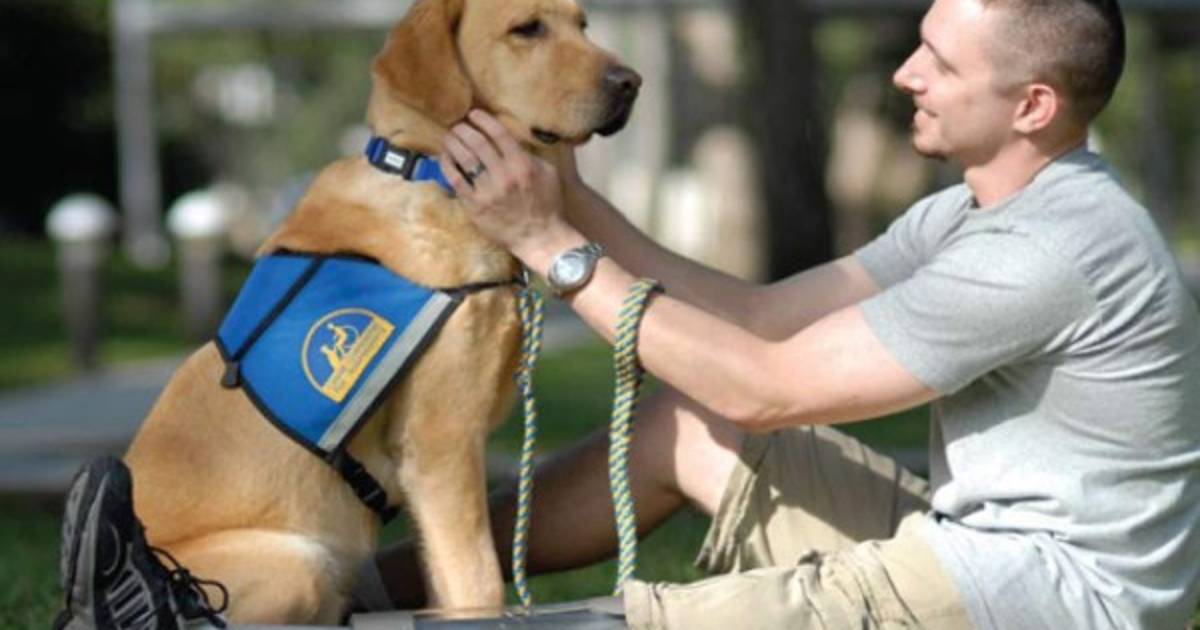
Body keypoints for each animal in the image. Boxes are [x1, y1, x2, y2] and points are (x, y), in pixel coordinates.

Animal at [121, 0, 640, 622]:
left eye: (583, 25)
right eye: (527, 29)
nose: (632, 82)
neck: (431, 174)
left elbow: (450, 585)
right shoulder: (441, 445)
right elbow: (478, 581)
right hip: (299, 560)